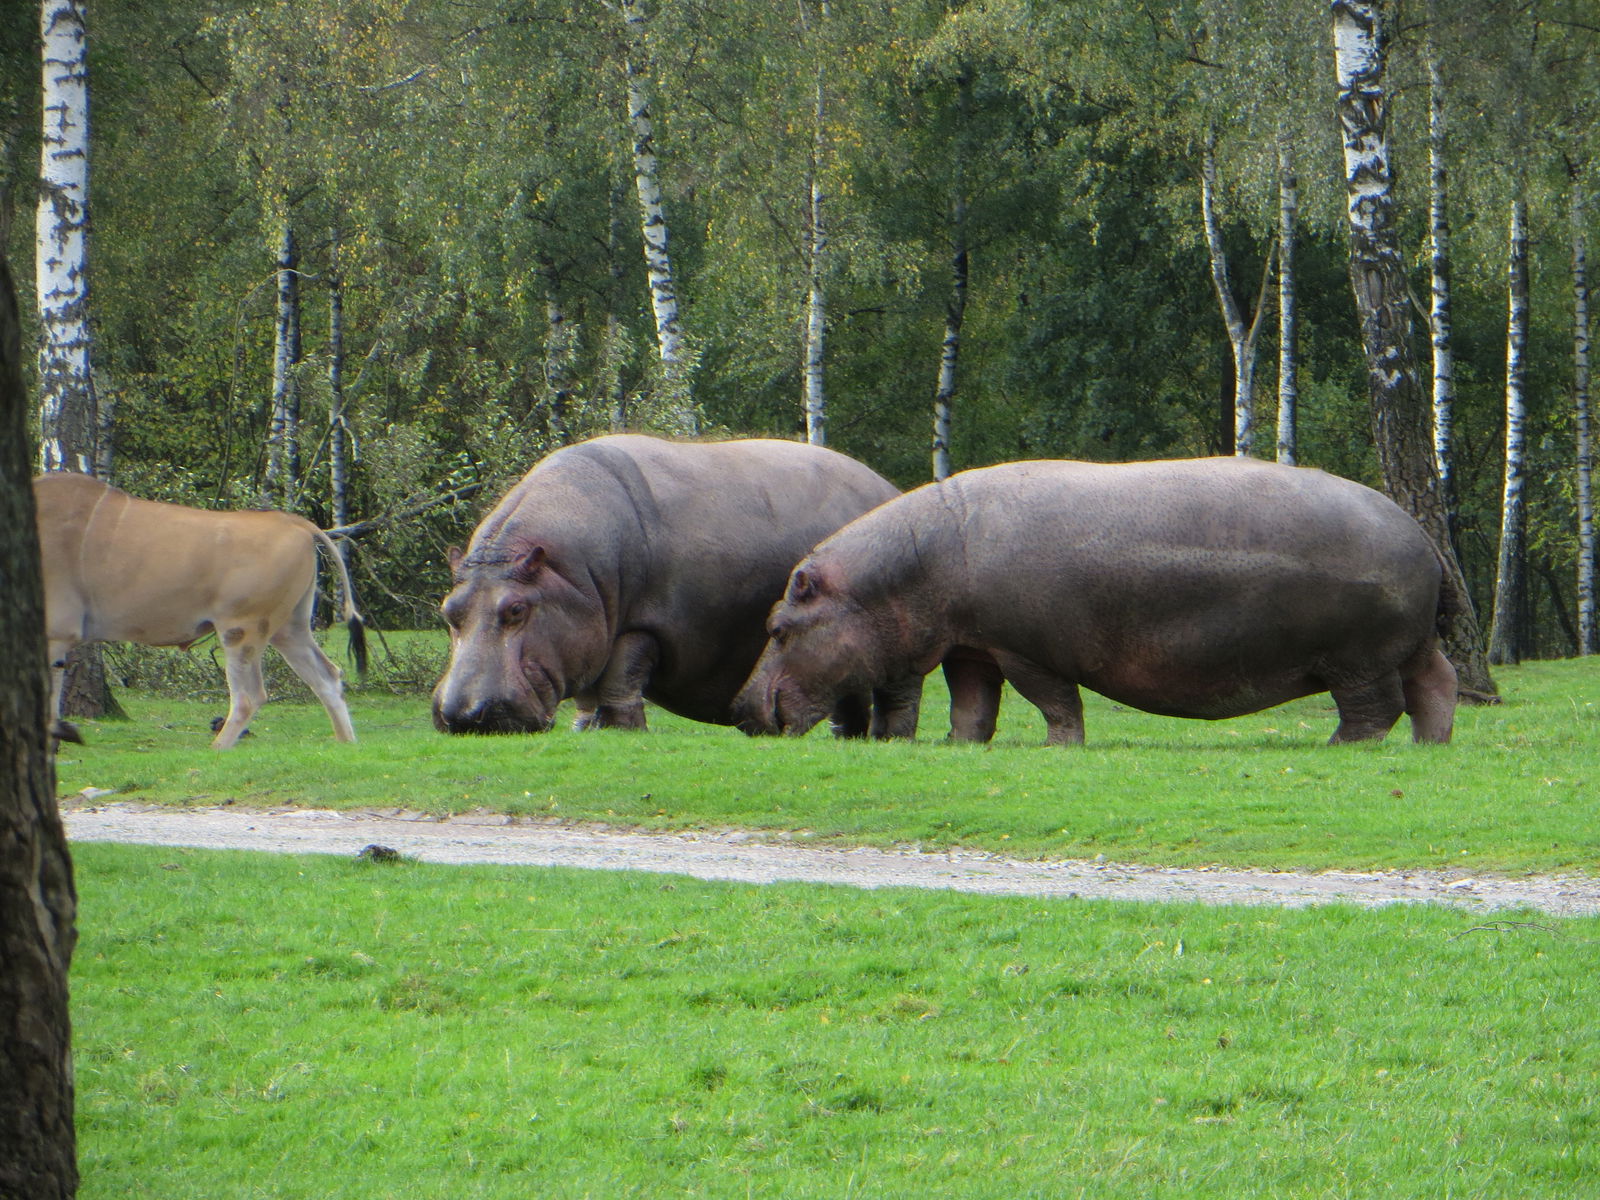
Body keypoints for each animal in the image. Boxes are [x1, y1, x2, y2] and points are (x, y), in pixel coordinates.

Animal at [432, 438, 921, 739]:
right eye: (448, 609)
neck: (562, 572)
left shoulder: (638, 628)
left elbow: (620, 683)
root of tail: (889, 487)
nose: (462, 715)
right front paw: (585, 731)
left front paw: (625, 733)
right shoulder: (590, 634)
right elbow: (589, 697)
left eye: (516, 609)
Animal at [736, 457, 1465, 748]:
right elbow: (974, 705)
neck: (910, 566)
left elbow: (1054, 702)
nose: (740, 709)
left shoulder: (1025, 650)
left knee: (1376, 709)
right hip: (1411, 646)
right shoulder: (973, 645)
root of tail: (1424, 534)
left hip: (1359, 658)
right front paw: (956, 745)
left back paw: (1337, 745)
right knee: (1438, 685)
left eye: (779, 626)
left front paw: (1061, 747)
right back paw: (1431, 746)